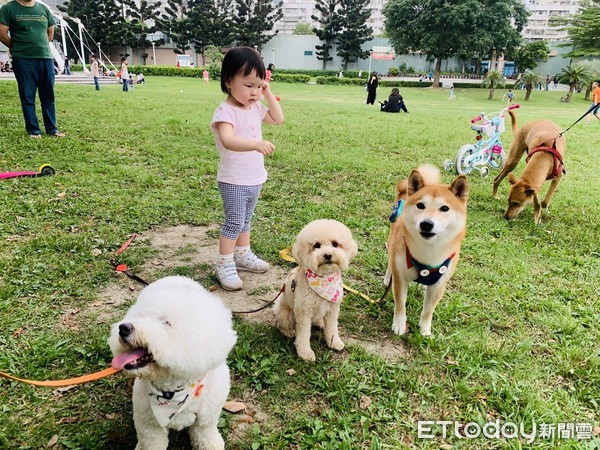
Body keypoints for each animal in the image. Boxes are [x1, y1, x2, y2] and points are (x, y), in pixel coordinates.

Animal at [109, 276, 236, 448]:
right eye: (140, 316)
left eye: (166, 323)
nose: (124, 328)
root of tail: (177, 276)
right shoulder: (149, 426)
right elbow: (152, 443)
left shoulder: (206, 420)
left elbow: (206, 436)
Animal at [276, 219, 358, 362]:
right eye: (316, 245)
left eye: (335, 244)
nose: (328, 255)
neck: (324, 280)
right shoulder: (303, 313)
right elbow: (303, 335)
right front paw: (305, 353)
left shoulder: (332, 311)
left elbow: (332, 328)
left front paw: (334, 342)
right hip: (286, 313)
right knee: (282, 325)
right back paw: (289, 332)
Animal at [384, 164, 468, 334]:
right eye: (420, 205)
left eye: (444, 208)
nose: (427, 224)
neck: (429, 252)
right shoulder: (401, 278)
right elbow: (400, 304)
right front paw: (399, 325)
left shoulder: (438, 285)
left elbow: (429, 310)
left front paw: (424, 331)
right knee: (390, 262)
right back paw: (387, 277)